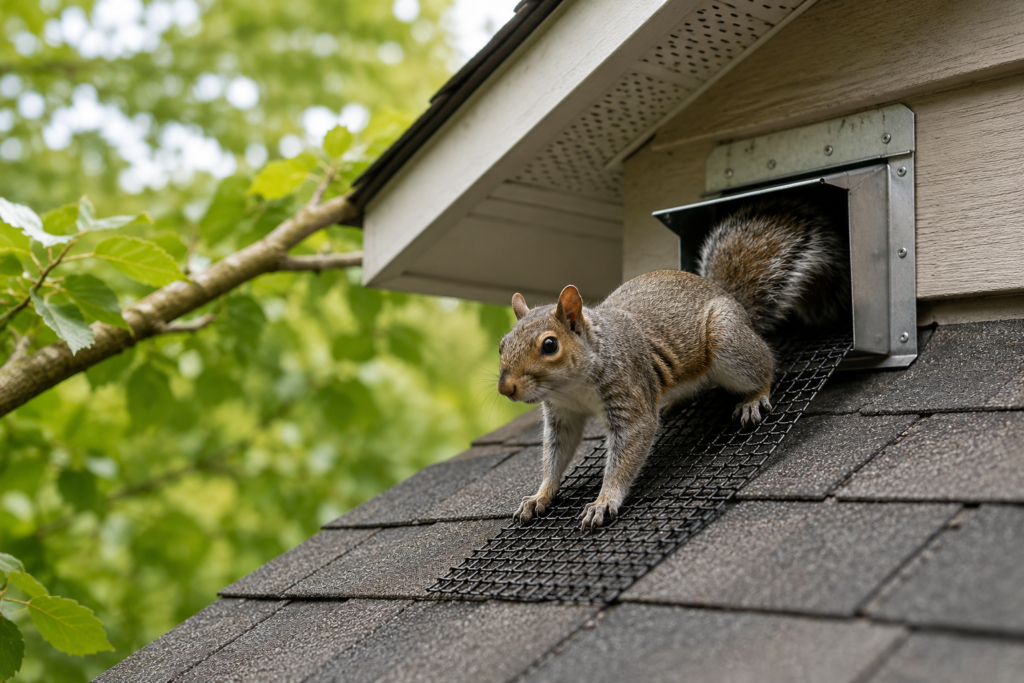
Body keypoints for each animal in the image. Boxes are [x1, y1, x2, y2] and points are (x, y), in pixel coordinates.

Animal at [497, 200, 849, 531]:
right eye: (502, 344)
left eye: (550, 345)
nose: (505, 388)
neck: (572, 388)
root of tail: (733, 302)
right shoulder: (563, 415)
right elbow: (556, 455)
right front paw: (541, 494)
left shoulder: (629, 393)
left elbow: (629, 447)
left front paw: (604, 500)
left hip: (727, 341)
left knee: (764, 366)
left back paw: (754, 398)